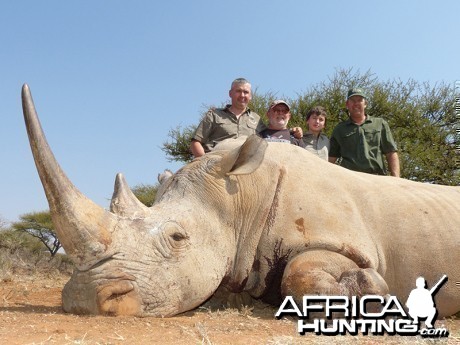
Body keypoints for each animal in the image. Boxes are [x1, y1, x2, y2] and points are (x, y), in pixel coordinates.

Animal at [22, 84, 460, 316]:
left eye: (177, 238)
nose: (83, 301)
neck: (239, 197)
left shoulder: (343, 239)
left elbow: (301, 272)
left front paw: (370, 291)